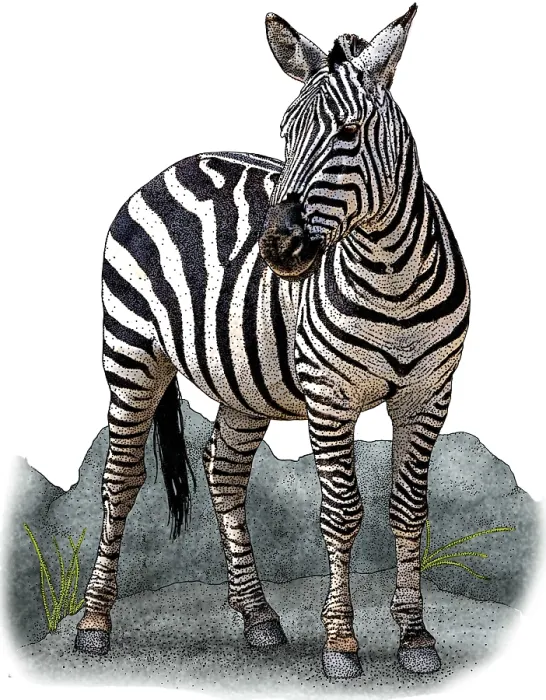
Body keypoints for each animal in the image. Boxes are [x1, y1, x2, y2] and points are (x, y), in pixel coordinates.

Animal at [75, 4, 470, 679]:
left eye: (350, 133)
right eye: (285, 135)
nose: (278, 246)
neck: (393, 277)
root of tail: (175, 165)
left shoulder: (428, 396)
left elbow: (409, 510)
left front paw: (416, 638)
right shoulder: (330, 395)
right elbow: (342, 511)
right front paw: (341, 646)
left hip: (244, 381)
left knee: (224, 471)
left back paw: (258, 617)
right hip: (129, 352)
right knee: (120, 479)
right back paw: (95, 624)